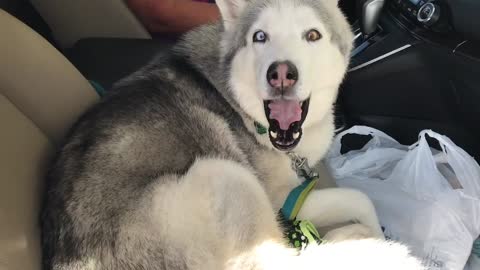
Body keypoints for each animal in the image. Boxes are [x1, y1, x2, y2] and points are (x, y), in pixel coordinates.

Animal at [42, 0, 424, 270]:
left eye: (312, 35)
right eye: (260, 36)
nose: (281, 73)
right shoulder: (282, 199)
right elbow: (362, 199)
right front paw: (374, 232)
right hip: (224, 174)